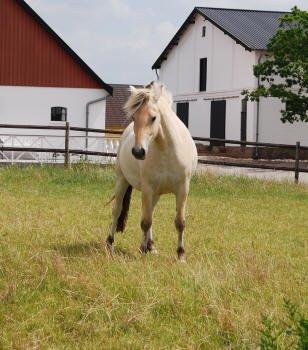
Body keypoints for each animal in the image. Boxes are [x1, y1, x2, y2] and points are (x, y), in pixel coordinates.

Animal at [106, 82, 197, 262]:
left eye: (153, 118)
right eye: (134, 118)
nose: (138, 152)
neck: (167, 150)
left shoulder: (183, 189)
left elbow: (179, 222)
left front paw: (181, 255)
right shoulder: (147, 188)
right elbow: (145, 221)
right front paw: (142, 250)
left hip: (156, 193)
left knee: (151, 213)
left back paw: (151, 246)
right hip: (122, 181)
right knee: (116, 210)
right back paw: (110, 243)